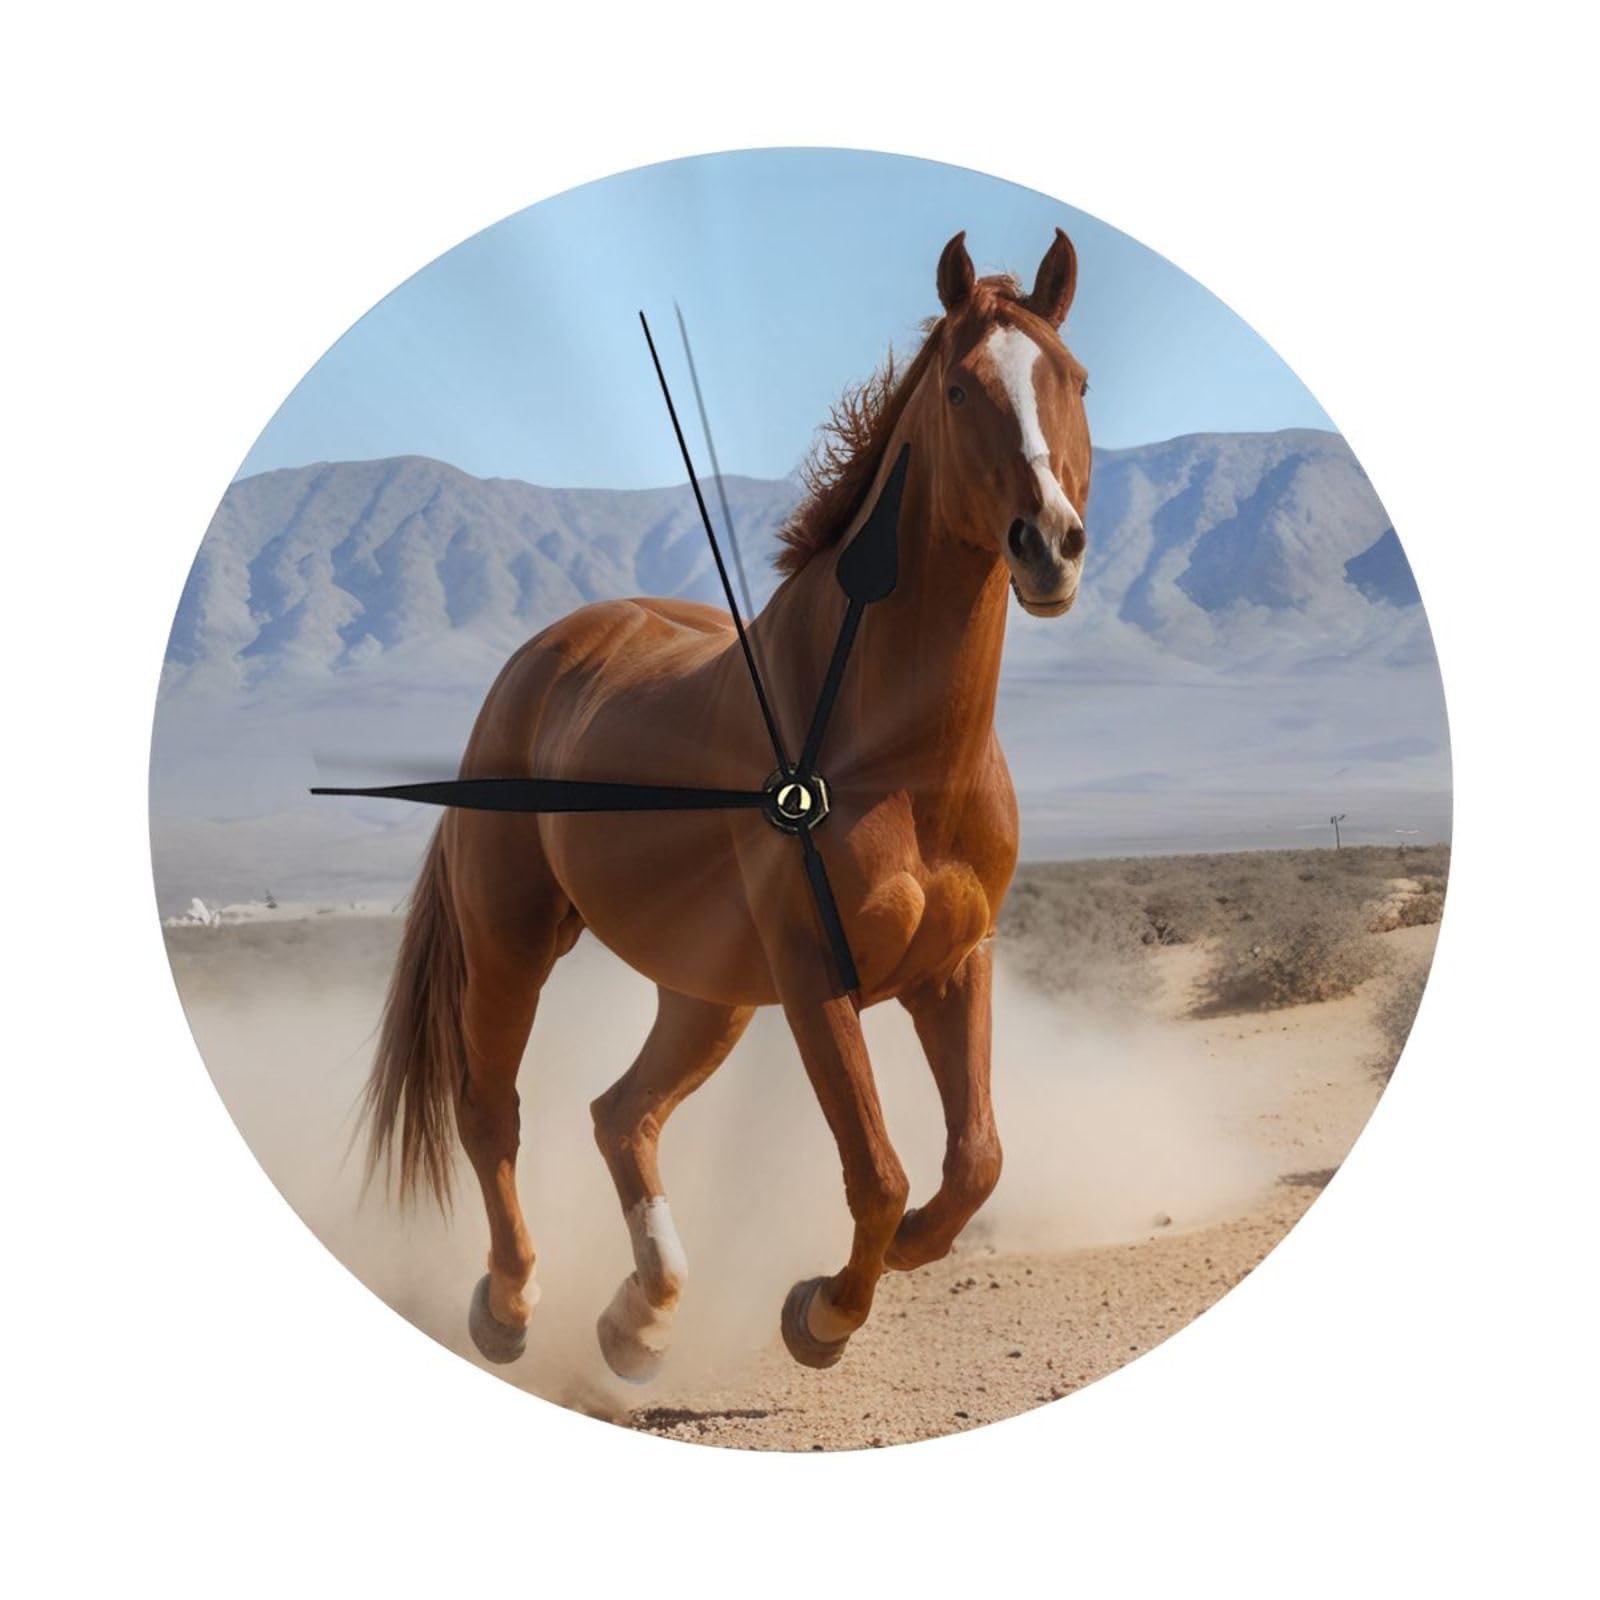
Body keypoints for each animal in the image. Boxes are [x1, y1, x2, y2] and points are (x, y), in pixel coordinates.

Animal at [363, 228, 1093, 1379]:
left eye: (1075, 381)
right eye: (960, 388)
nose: (1049, 545)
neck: (900, 756)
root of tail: (542, 659)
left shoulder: (952, 966)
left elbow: (972, 1162)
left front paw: (873, 1269)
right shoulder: (812, 977)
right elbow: (879, 1172)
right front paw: (821, 1315)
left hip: (706, 991)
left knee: (622, 1113)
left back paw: (642, 1317)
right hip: (513, 941)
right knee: (491, 1114)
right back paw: (512, 1305)